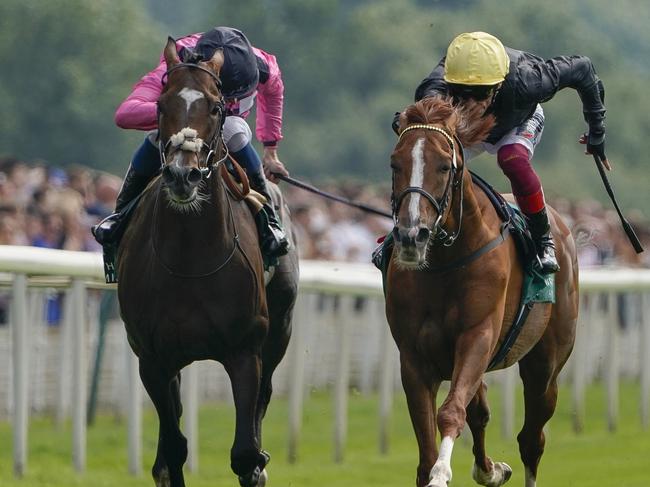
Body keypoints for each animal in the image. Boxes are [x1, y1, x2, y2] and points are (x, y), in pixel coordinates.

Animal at [117, 38, 298, 487]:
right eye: (161, 105)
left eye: (216, 106)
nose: (184, 175)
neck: (190, 258)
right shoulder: (152, 358)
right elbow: (175, 448)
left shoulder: (245, 350)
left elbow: (246, 454)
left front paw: (258, 463)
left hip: (280, 330)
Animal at [388, 98, 576, 487]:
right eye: (395, 164)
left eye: (444, 166)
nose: (411, 236)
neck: (444, 263)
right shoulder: (413, 356)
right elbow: (427, 444)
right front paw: (444, 469)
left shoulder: (477, 335)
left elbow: (451, 413)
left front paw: (442, 474)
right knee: (481, 411)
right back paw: (489, 470)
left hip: (546, 364)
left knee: (532, 438)